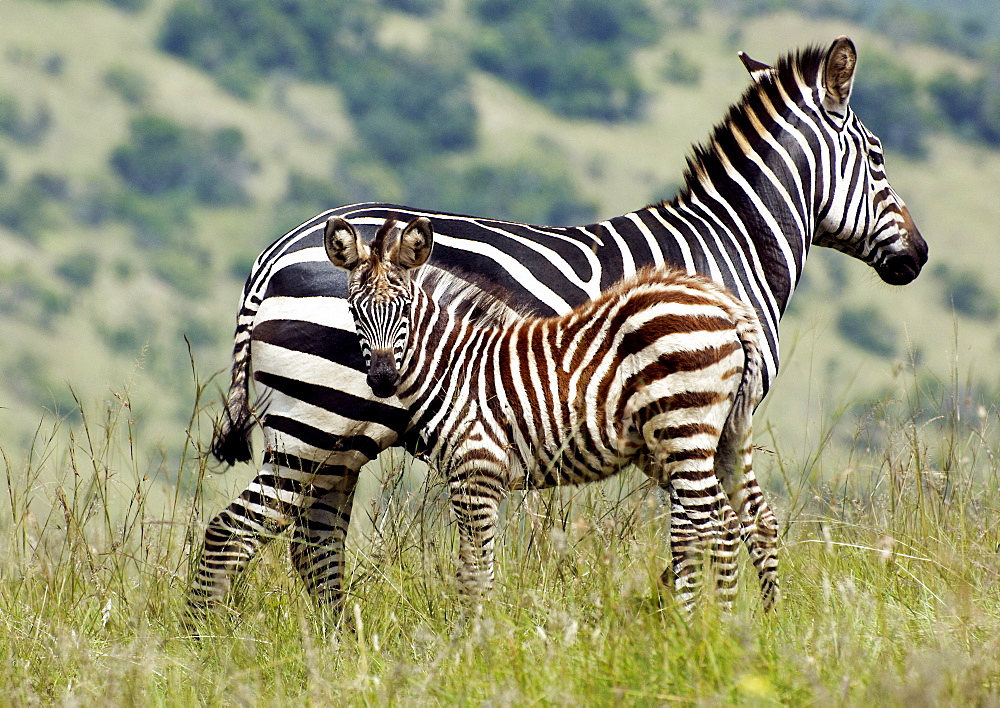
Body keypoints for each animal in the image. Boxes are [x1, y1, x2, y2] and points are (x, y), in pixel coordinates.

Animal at [328, 217, 780, 612]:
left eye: (404, 309)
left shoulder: (477, 471)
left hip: (684, 430)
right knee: (754, 520)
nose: (382, 379)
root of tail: (723, 304)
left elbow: (475, 575)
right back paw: (756, 623)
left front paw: (473, 641)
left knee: (712, 525)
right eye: (354, 311)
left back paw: (701, 625)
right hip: (727, 434)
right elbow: (474, 571)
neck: (453, 366)